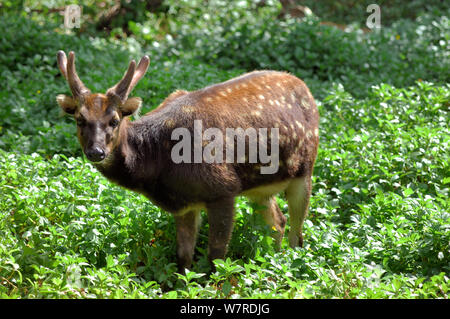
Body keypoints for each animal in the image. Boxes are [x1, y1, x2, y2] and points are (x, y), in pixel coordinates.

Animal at [56, 50, 320, 276]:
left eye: (114, 120)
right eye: (80, 119)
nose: (96, 151)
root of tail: (306, 88)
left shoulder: (224, 188)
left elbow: (216, 258)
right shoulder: (184, 205)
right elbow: (183, 258)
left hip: (305, 168)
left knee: (297, 231)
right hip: (259, 187)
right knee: (278, 221)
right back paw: (272, 262)